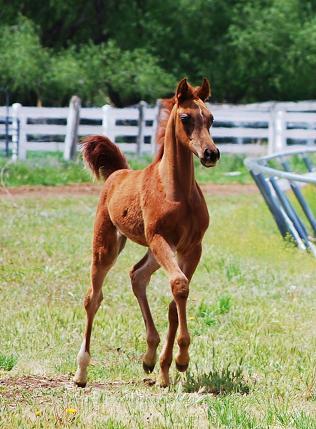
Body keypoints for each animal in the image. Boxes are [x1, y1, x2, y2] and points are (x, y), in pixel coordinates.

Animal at [74, 77, 220, 388]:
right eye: (185, 118)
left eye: (211, 118)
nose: (211, 153)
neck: (177, 191)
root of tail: (118, 173)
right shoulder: (160, 238)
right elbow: (179, 285)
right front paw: (181, 359)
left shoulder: (192, 247)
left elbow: (175, 300)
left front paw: (169, 366)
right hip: (107, 245)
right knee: (93, 298)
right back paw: (81, 371)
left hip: (154, 252)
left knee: (137, 275)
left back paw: (150, 357)